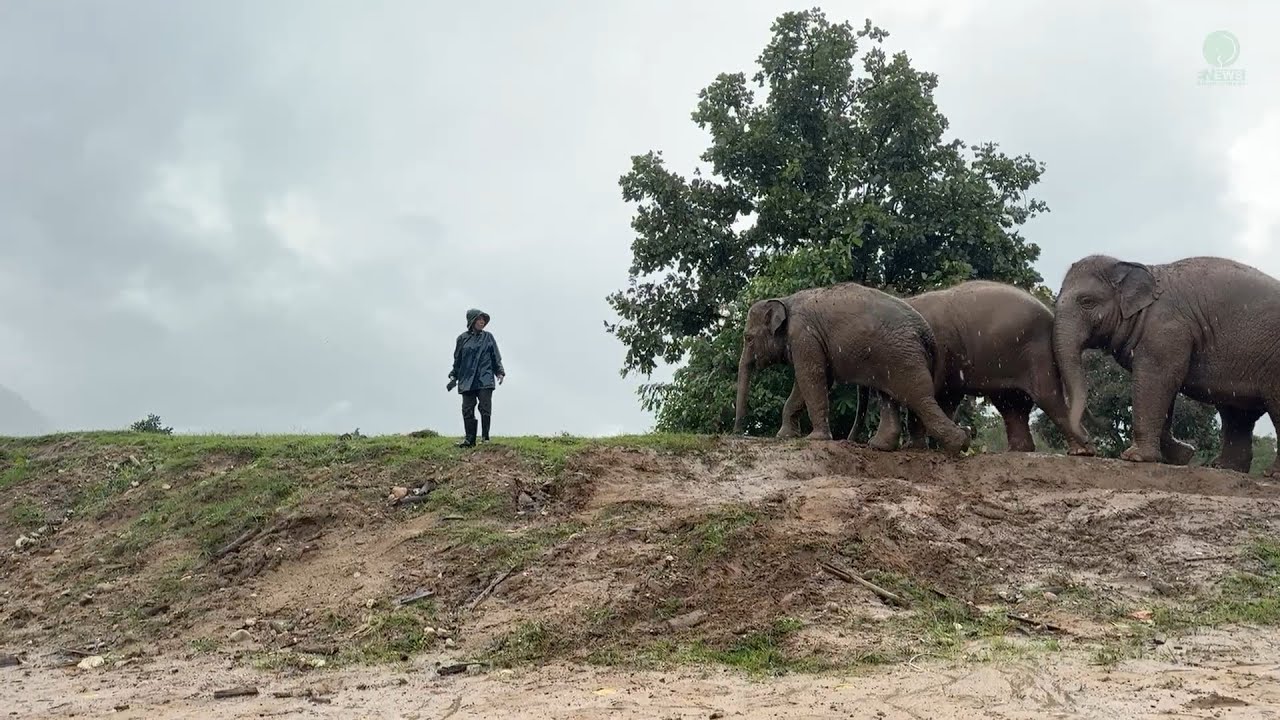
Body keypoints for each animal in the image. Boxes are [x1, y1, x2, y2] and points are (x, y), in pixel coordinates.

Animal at [732, 281, 971, 455]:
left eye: (748, 338)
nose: (737, 432)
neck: (785, 300)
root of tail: (927, 333)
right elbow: (806, 382)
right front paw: (785, 436)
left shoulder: (804, 335)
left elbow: (811, 377)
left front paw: (815, 438)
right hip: (894, 357)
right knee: (890, 397)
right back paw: (881, 446)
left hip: (903, 356)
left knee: (919, 397)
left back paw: (960, 444)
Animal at [777, 280, 1097, 455]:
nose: (851, 438)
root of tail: (1050, 314)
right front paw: (912, 446)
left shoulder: (941, 352)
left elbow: (935, 393)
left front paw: (913, 445)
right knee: (1011, 403)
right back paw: (1021, 450)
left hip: (1036, 353)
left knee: (1045, 396)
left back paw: (1082, 450)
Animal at [1053, 254, 1280, 476]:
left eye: (1087, 301)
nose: (1088, 447)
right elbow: (1164, 385)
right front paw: (1181, 456)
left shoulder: (1166, 330)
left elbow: (1156, 379)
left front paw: (1135, 457)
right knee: (1237, 414)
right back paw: (1224, 468)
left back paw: (1270, 475)